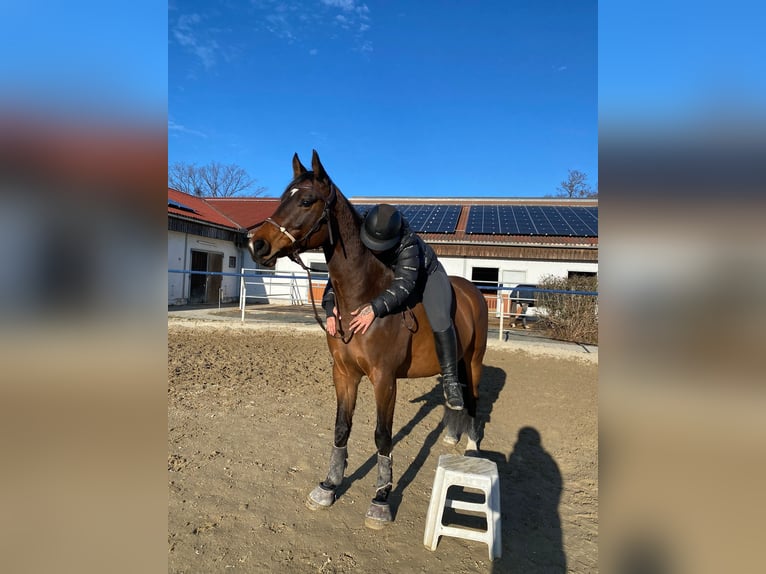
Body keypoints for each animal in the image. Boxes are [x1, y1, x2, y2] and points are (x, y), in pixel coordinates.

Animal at [249, 152, 488, 532]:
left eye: (306, 200)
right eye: (283, 197)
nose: (257, 243)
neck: (363, 298)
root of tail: (471, 292)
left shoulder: (384, 380)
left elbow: (382, 435)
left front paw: (381, 498)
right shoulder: (344, 374)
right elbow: (341, 428)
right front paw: (329, 486)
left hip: (474, 360)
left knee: (474, 400)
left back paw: (472, 447)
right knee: (457, 396)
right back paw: (452, 435)